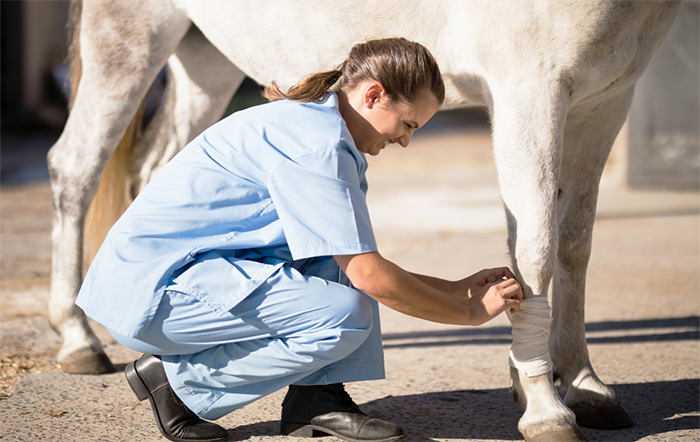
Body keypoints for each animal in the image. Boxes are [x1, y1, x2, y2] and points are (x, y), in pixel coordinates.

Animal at [46, 1, 680, 440]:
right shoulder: (531, 89)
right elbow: (535, 250)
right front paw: (545, 408)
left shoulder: (604, 101)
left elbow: (574, 245)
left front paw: (583, 386)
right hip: (127, 39)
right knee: (74, 166)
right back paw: (78, 338)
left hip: (203, 59)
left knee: (158, 166)